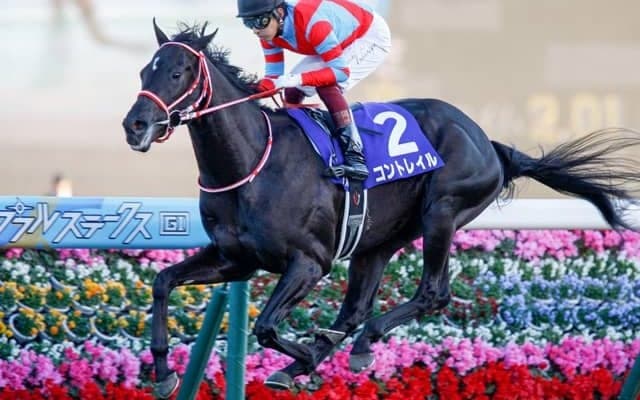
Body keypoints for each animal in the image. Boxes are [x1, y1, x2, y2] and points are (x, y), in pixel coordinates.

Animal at [122, 21, 640, 398]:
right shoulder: (236, 259)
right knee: (355, 309)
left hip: (443, 211)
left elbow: (267, 326)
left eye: (176, 74)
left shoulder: (309, 262)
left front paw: (303, 356)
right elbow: (162, 282)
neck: (252, 162)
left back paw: (350, 346)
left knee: (432, 293)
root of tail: (488, 141)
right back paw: (330, 350)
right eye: (144, 73)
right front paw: (164, 372)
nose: (135, 125)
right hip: (378, 240)